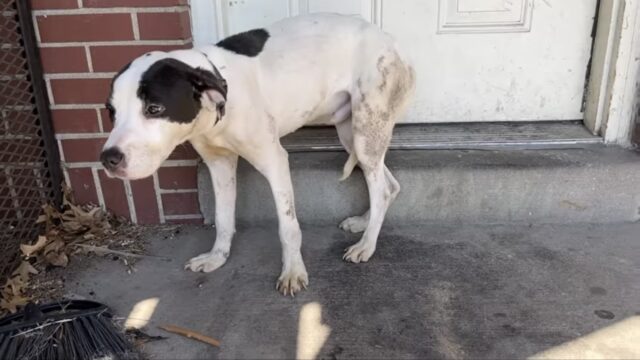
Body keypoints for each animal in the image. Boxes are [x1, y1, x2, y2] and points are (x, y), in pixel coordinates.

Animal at [100, 14, 416, 296]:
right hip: (353, 135)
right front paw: (217, 257)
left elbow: (288, 228)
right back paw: (364, 222)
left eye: (154, 108)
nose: (108, 159)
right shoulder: (219, 164)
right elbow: (223, 218)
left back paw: (367, 245)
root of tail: (394, 44)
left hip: (366, 132)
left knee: (380, 188)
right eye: (111, 111)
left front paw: (293, 272)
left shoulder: (274, 161)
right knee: (389, 185)